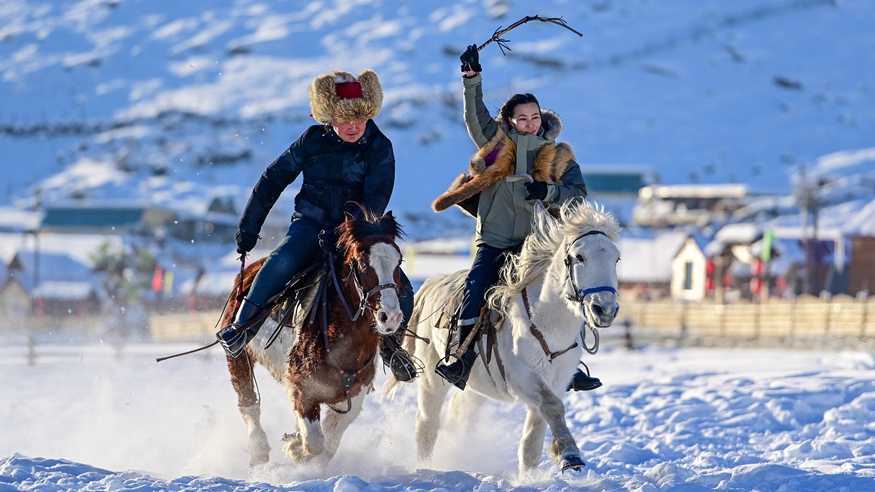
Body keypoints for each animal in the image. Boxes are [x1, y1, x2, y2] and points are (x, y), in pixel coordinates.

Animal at [224, 210, 406, 466]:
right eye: (362, 263)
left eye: (398, 262)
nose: (390, 316)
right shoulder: (303, 388)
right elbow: (316, 441)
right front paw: (295, 447)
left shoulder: (353, 394)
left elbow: (329, 440)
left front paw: (296, 444)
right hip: (238, 358)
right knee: (248, 403)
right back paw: (258, 448)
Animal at [386, 201, 620, 476]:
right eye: (579, 257)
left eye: (616, 258)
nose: (604, 309)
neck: (547, 325)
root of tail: (431, 285)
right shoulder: (522, 378)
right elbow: (552, 407)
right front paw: (570, 455)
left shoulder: (556, 382)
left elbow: (532, 441)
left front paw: (530, 477)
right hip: (433, 382)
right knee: (427, 424)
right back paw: (426, 466)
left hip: (474, 388)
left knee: (459, 417)